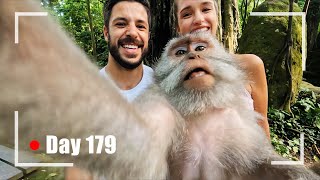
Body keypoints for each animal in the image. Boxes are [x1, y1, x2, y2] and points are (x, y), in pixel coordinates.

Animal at [0, 0, 318, 179]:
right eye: (180, 53)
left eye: (200, 48)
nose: (192, 57)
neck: (200, 108)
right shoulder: (160, 108)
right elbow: (135, 146)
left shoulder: (240, 122)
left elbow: (262, 163)